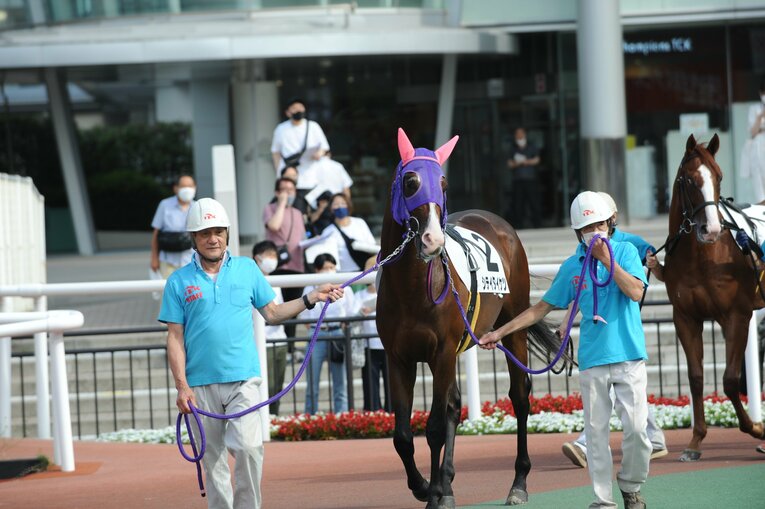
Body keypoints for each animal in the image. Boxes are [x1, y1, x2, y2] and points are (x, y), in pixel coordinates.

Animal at [376, 128, 568, 508]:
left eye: (444, 184)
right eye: (410, 182)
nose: (432, 240)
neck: (411, 289)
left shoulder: (442, 351)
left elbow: (434, 427)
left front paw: (434, 493)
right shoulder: (398, 357)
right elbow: (403, 434)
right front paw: (425, 486)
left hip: (513, 328)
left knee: (519, 397)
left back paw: (518, 483)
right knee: (453, 405)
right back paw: (448, 483)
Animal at [662, 133, 765, 462]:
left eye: (718, 177)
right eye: (689, 180)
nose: (712, 229)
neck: (703, 257)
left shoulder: (737, 315)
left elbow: (731, 380)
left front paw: (756, 428)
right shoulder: (685, 317)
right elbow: (695, 377)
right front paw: (695, 442)